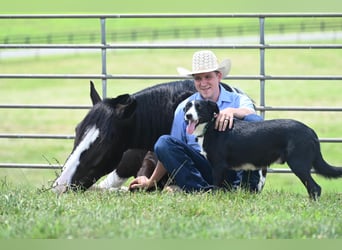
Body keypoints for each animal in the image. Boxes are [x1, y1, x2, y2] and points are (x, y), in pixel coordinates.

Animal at [184, 99, 342, 199]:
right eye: (187, 107)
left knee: (315, 188)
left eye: (199, 107)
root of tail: (310, 131)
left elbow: (216, 187)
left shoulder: (218, 166)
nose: (188, 115)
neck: (210, 127)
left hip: (299, 164)